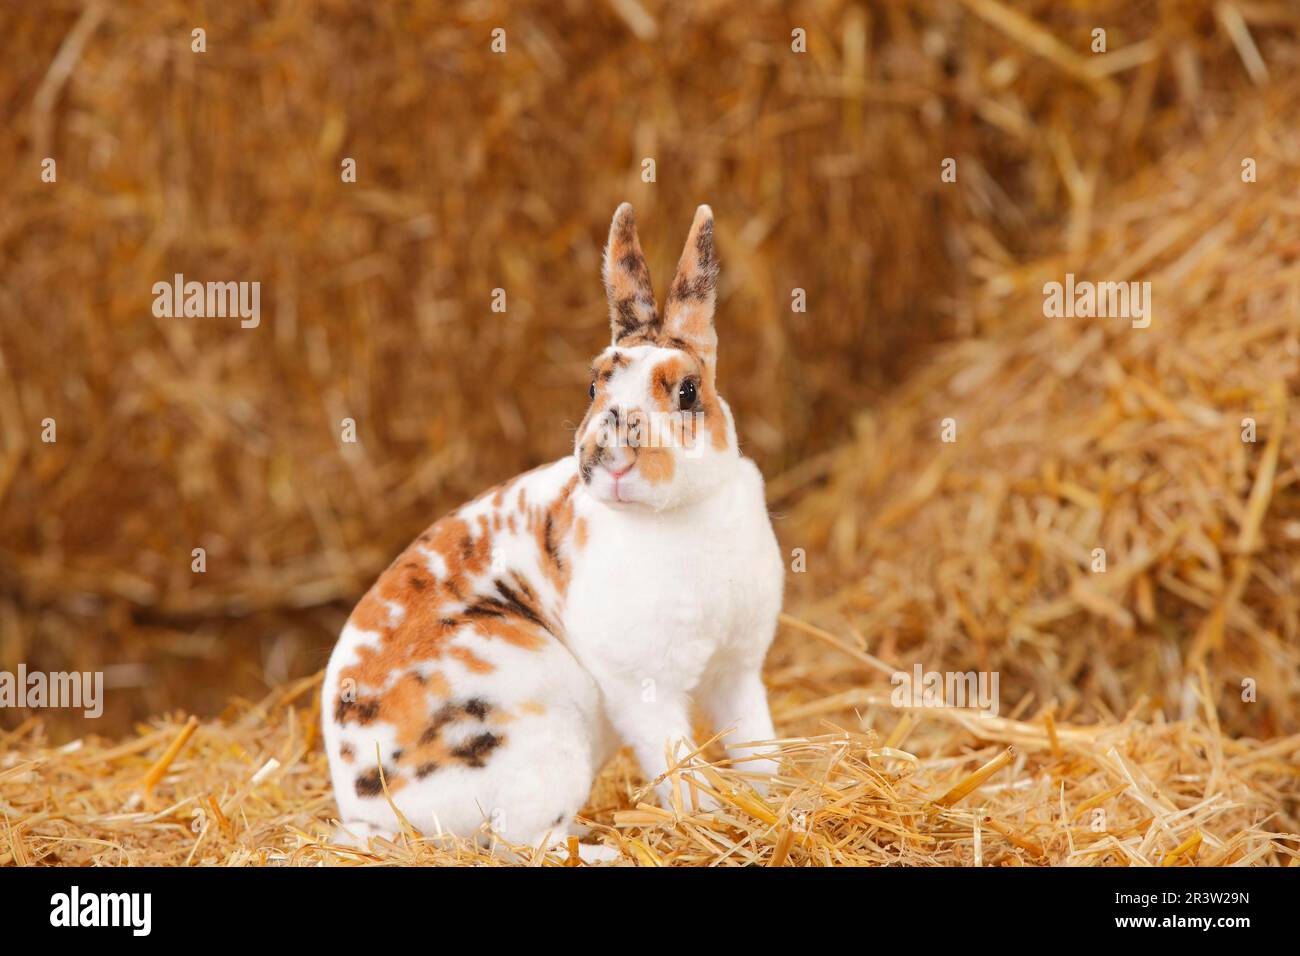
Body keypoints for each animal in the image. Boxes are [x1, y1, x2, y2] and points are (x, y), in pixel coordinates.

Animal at [322, 203, 784, 863]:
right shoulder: (642, 690)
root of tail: (369, 811)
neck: (680, 515)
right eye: (593, 387)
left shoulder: (738, 671)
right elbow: (679, 767)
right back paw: (606, 851)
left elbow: (756, 750)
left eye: (689, 391)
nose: (608, 458)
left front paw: (773, 804)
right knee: (522, 842)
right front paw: (708, 822)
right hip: (543, 739)